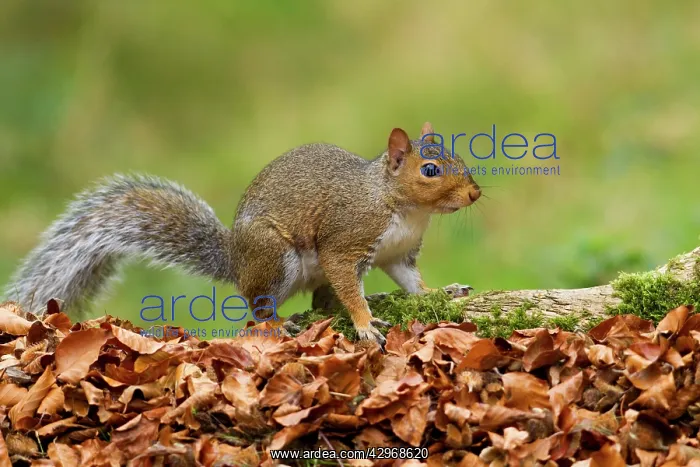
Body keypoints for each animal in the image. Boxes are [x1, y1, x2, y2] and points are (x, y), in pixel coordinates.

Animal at [4, 122, 481, 344]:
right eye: (430, 170)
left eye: (459, 158)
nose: (476, 193)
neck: (405, 209)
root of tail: (234, 258)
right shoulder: (346, 241)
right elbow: (347, 282)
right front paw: (365, 326)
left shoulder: (398, 254)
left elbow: (412, 281)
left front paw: (439, 291)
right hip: (275, 259)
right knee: (259, 307)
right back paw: (281, 322)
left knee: (321, 301)